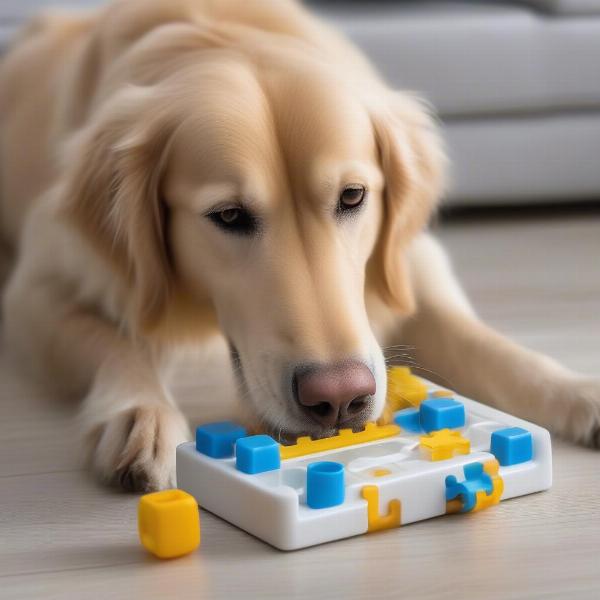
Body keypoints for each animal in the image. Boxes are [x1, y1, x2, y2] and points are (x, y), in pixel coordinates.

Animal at [1, 0, 600, 490]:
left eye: (353, 196)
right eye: (229, 215)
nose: (340, 399)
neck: (217, 30)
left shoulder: (410, 264)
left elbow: (484, 343)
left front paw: (576, 389)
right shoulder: (36, 289)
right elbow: (116, 345)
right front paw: (142, 417)